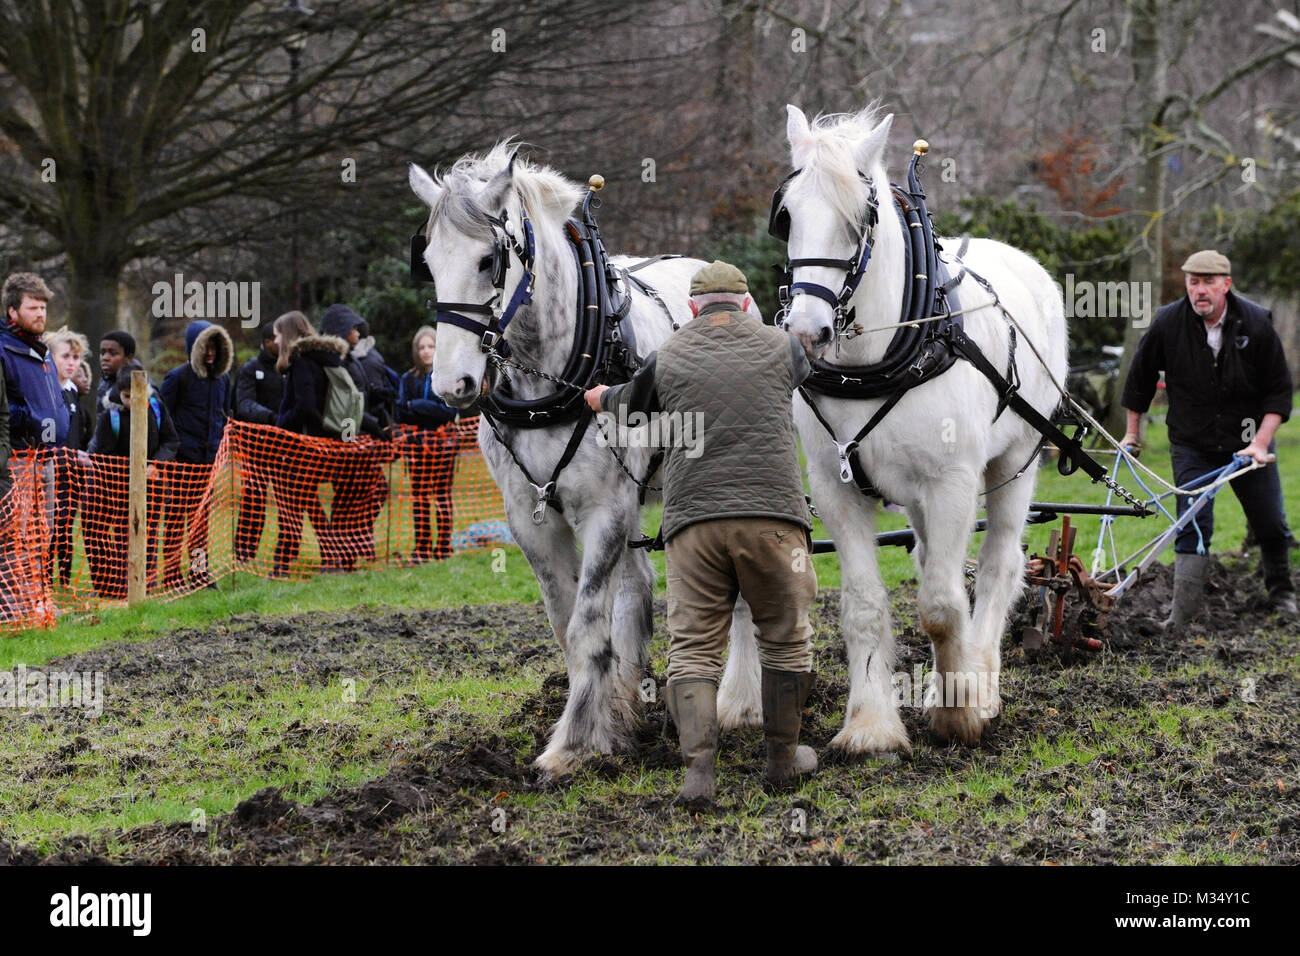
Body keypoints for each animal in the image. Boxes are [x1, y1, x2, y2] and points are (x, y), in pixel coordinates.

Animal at [409, 144, 729, 779]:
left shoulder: (603, 509)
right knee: (636, 588)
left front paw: (574, 741)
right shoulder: (530, 517)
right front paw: (605, 721)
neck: (550, 377)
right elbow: (565, 621)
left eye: (488, 260)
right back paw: (629, 698)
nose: (452, 384)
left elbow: (585, 625)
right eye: (429, 262)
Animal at [716, 105, 1068, 754]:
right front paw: (872, 725)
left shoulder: (952, 481)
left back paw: (981, 684)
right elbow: (864, 606)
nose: (806, 331)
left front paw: (959, 713)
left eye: (860, 221)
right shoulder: (836, 487)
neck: (873, 360)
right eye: (787, 216)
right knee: (936, 557)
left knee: (999, 566)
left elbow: (941, 604)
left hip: (1016, 461)